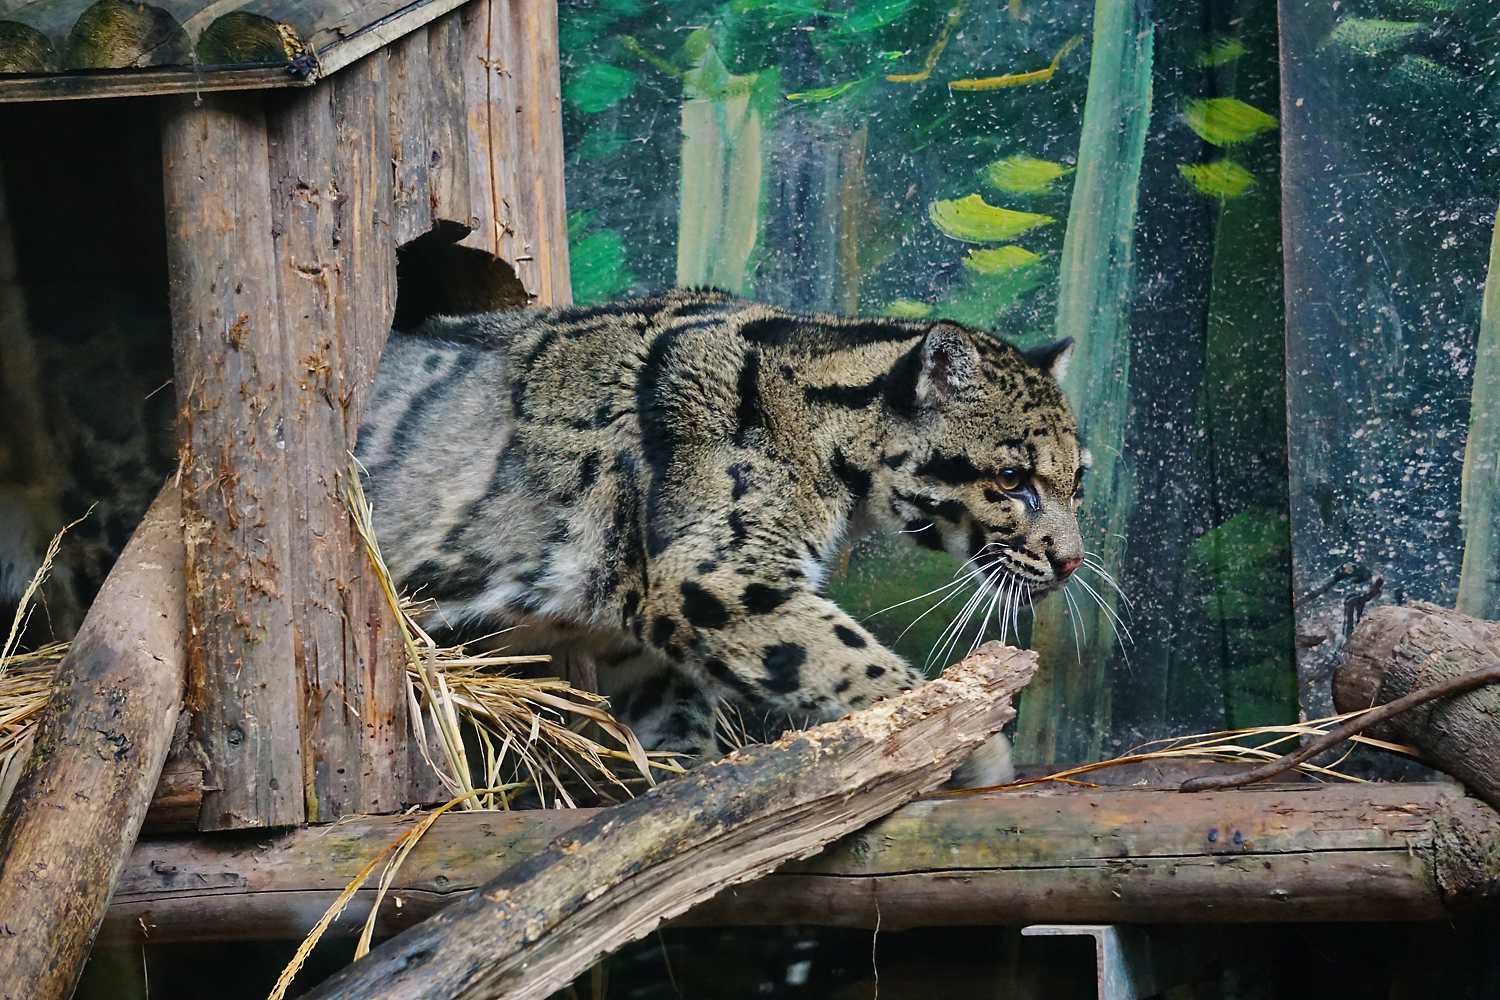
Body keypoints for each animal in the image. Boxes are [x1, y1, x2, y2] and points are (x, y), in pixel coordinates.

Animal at [355, 288, 1088, 780]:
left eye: (1078, 479)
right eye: (1011, 477)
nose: (1072, 561)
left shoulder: (635, 633)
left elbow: (677, 710)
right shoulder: (713, 577)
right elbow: (858, 661)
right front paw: (976, 745)